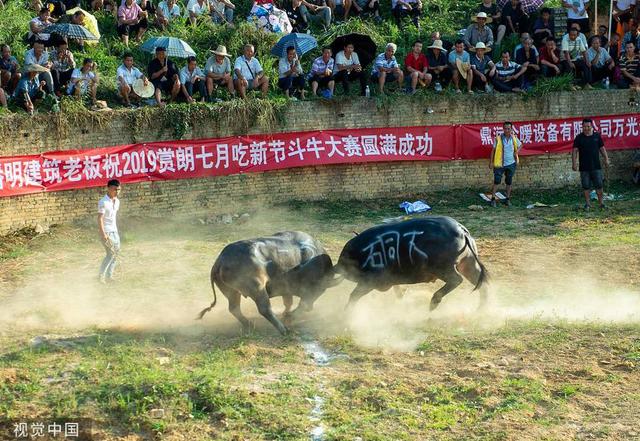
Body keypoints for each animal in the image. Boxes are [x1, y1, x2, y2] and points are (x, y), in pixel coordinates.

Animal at [198, 230, 340, 334]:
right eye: (320, 289)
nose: (311, 308)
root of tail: (220, 261)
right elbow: (299, 303)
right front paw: (289, 317)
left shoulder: (286, 288)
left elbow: (288, 302)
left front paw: (286, 314)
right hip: (257, 288)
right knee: (264, 309)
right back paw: (283, 330)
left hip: (231, 291)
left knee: (234, 308)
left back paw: (250, 324)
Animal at [336, 217, 490, 310]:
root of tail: (462, 231)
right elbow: (397, 290)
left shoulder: (369, 281)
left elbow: (353, 296)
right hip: (468, 264)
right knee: (481, 283)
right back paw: (481, 309)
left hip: (442, 267)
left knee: (456, 280)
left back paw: (433, 302)